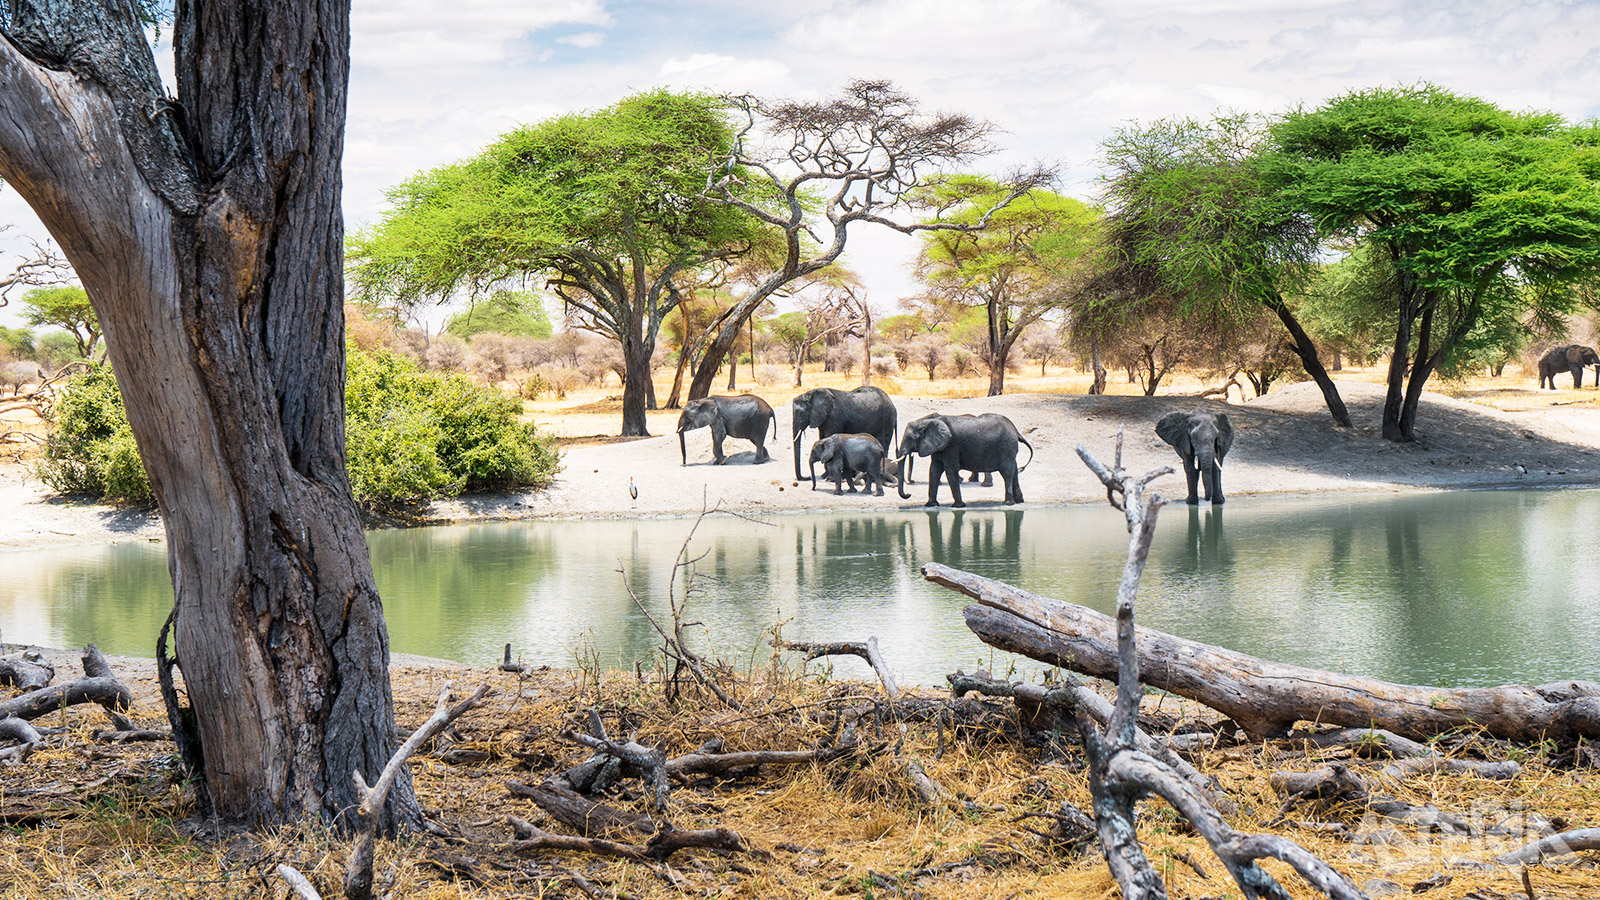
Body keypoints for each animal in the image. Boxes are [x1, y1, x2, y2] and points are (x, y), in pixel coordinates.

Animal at [896, 413, 1030, 506]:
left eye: (913, 437)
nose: (909, 494)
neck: (926, 421)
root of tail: (1015, 430)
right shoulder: (939, 446)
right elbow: (934, 470)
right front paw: (931, 505)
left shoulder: (950, 445)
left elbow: (950, 470)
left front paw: (958, 506)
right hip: (1009, 448)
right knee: (1014, 471)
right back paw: (1019, 501)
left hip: (1006, 446)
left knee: (1006, 472)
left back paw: (1008, 503)